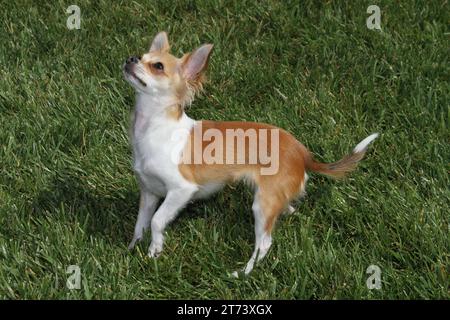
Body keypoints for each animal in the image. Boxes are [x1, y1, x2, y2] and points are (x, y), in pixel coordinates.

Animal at [122, 30, 376, 276]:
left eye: (158, 66)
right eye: (141, 56)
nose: (131, 58)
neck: (151, 127)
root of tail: (302, 153)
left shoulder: (181, 189)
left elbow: (156, 221)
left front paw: (154, 251)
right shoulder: (149, 192)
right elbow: (140, 223)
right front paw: (132, 249)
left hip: (262, 204)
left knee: (264, 243)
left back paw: (244, 272)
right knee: (287, 210)